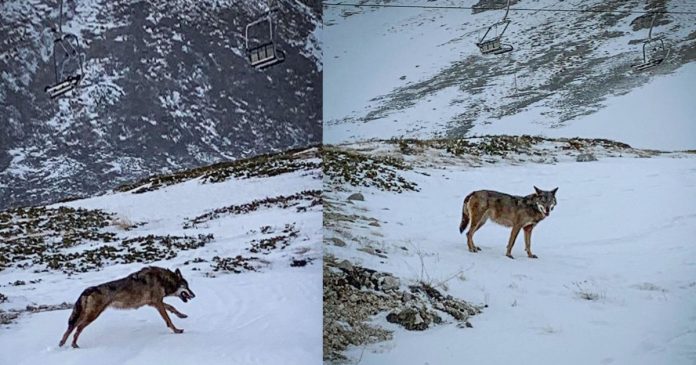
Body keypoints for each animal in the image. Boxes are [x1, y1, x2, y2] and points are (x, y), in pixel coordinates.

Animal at [57, 264, 196, 346]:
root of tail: (88, 289)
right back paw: (73, 344)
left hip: (84, 315)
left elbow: (172, 308)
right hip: (92, 316)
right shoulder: (157, 302)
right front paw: (177, 330)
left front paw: (182, 315)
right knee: (78, 329)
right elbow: (168, 319)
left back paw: (62, 343)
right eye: (186, 286)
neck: (163, 280)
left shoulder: (154, 303)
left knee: (70, 328)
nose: (194, 295)